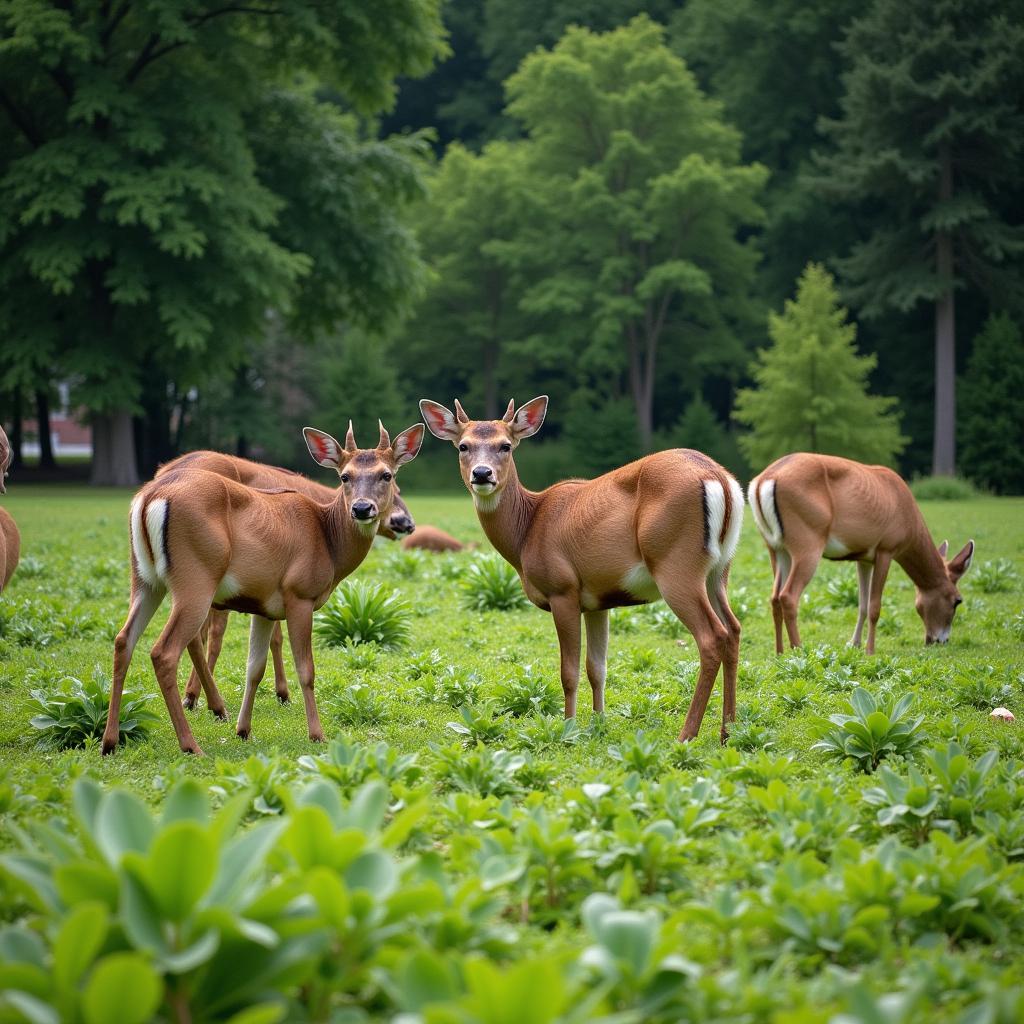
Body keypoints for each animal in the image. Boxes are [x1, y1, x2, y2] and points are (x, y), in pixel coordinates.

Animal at [150, 444, 411, 716]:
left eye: (388, 477)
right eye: (395, 489)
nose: (406, 522)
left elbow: (273, 637)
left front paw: (280, 691)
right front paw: (283, 692)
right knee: (207, 636)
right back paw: (202, 700)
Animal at [417, 395, 745, 741]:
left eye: (505, 445)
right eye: (463, 446)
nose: (482, 473)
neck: (527, 530)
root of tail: (719, 478)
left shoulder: (563, 589)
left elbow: (569, 671)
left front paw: (568, 727)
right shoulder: (598, 600)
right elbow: (597, 667)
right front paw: (598, 723)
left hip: (675, 564)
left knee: (712, 637)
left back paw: (686, 735)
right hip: (719, 569)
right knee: (734, 629)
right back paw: (728, 732)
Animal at [745, 454, 974, 655]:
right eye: (958, 600)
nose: (939, 640)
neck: (907, 516)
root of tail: (764, 480)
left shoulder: (863, 558)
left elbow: (862, 604)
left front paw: (854, 645)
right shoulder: (886, 550)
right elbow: (874, 606)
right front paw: (870, 650)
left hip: (776, 549)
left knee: (774, 597)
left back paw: (780, 652)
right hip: (808, 545)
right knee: (788, 596)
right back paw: (798, 650)